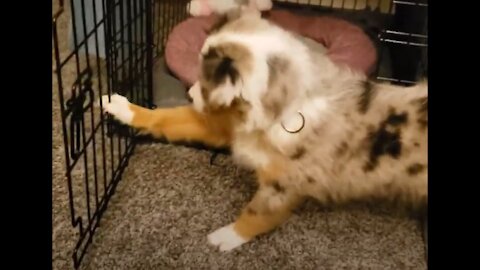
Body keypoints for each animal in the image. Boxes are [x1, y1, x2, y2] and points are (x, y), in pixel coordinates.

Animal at [100, 9, 428, 252]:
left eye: (205, 81)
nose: (191, 95)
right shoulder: (225, 125)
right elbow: (169, 118)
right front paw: (123, 108)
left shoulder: (283, 185)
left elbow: (257, 212)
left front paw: (227, 237)